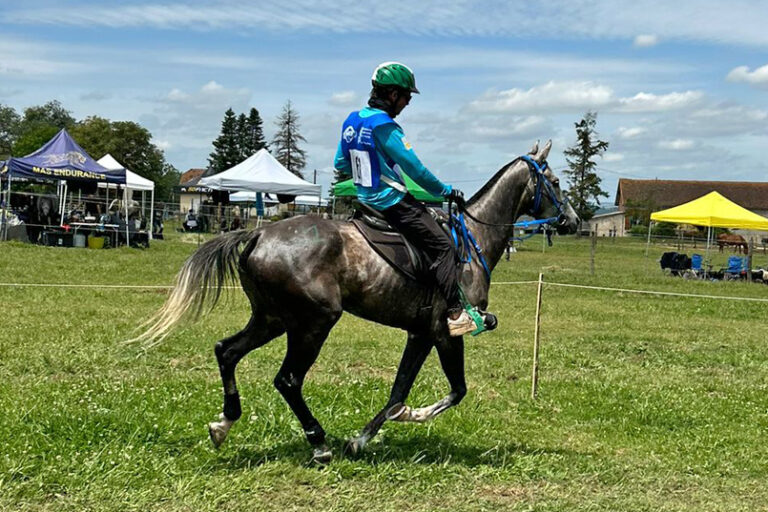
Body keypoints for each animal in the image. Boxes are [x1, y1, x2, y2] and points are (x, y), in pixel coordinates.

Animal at [135, 140, 580, 464]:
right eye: (556, 182)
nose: (573, 220)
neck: (471, 241)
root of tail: (259, 234)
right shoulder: (446, 332)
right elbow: (455, 390)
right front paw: (411, 417)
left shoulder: (420, 334)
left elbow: (398, 391)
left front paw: (363, 439)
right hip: (314, 323)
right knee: (288, 379)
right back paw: (318, 443)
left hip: (272, 319)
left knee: (226, 351)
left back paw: (225, 424)